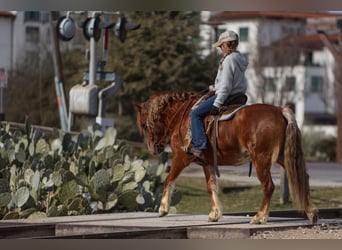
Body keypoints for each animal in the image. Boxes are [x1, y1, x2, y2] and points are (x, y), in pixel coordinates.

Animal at [134, 90, 318, 225]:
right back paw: (311, 212)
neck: (182, 117)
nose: (153, 148)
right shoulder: (207, 163)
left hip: (261, 160)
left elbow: (168, 180)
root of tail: (279, 110)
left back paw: (259, 217)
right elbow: (211, 187)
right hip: (284, 157)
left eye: (145, 124)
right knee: (302, 178)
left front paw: (163, 208)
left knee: (268, 186)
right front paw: (215, 214)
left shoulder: (181, 158)